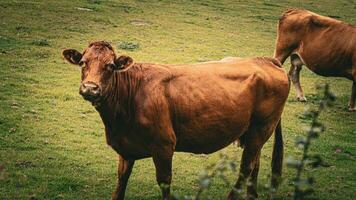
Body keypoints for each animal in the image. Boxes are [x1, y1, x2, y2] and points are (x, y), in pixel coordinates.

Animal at [62, 41, 290, 199]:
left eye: (110, 66)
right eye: (82, 62)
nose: (90, 88)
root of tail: (265, 60)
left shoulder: (163, 145)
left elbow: (164, 182)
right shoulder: (125, 149)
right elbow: (121, 181)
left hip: (262, 127)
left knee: (246, 167)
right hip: (253, 132)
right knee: (255, 163)